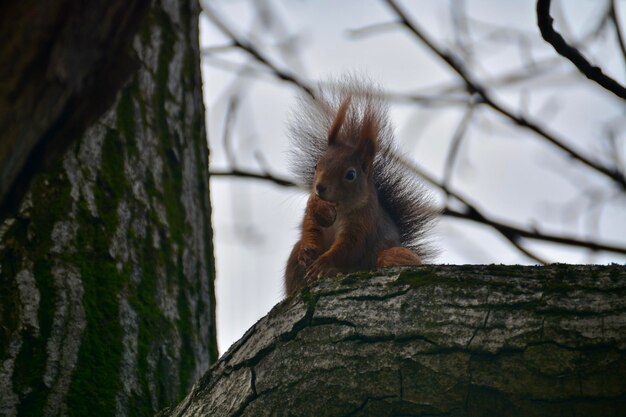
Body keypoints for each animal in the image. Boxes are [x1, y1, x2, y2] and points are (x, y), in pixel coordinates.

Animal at [282, 79, 434, 296]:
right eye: (316, 165)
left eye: (351, 175)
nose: (320, 188)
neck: (338, 208)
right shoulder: (313, 209)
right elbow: (310, 228)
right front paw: (308, 250)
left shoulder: (363, 223)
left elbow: (349, 248)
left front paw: (323, 264)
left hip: (392, 254)